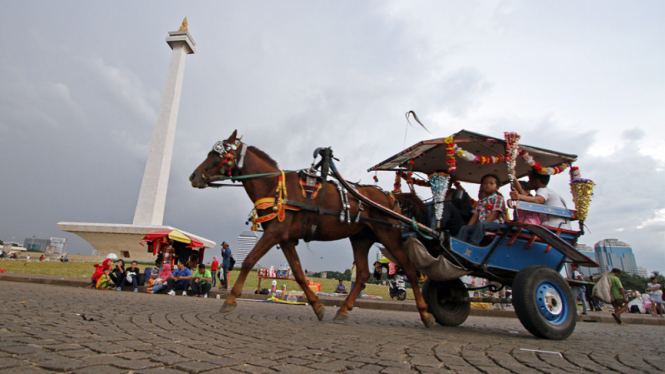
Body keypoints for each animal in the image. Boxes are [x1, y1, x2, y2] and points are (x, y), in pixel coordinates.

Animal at [189, 131, 434, 328]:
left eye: (217, 154)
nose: (194, 176)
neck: (274, 186)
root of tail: (391, 197)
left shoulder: (274, 233)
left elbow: (249, 261)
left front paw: (231, 299)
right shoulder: (285, 239)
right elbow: (298, 273)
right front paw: (317, 306)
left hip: (389, 236)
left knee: (410, 270)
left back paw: (425, 313)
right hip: (361, 238)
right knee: (363, 273)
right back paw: (343, 310)